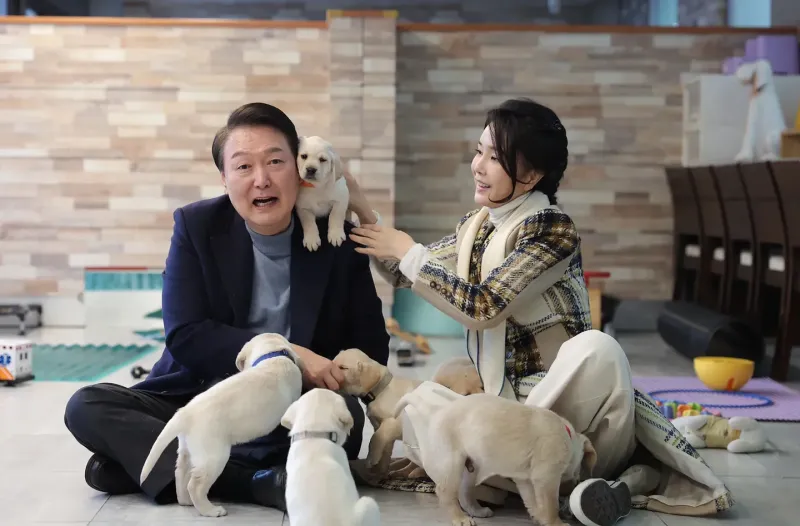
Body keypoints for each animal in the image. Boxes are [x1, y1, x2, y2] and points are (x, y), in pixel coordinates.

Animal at [139, 334, 302, 520]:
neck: (271, 354)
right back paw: (211, 510)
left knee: (181, 473)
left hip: (188, 450)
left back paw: (186, 501)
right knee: (195, 485)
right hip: (214, 456)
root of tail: (185, 413)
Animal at [398, 396, 592, 526]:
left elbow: (532, 501)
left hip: (471, 470)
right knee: (445, 493)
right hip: (451, 463)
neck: (568, 436)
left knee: (463, 494)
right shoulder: (546, 477)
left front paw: (539, 517)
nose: (577, 481)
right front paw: (555, 522)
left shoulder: (525, 480)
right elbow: (551, 505)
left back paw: (477, 511)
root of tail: (435, 414)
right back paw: (459, 518)